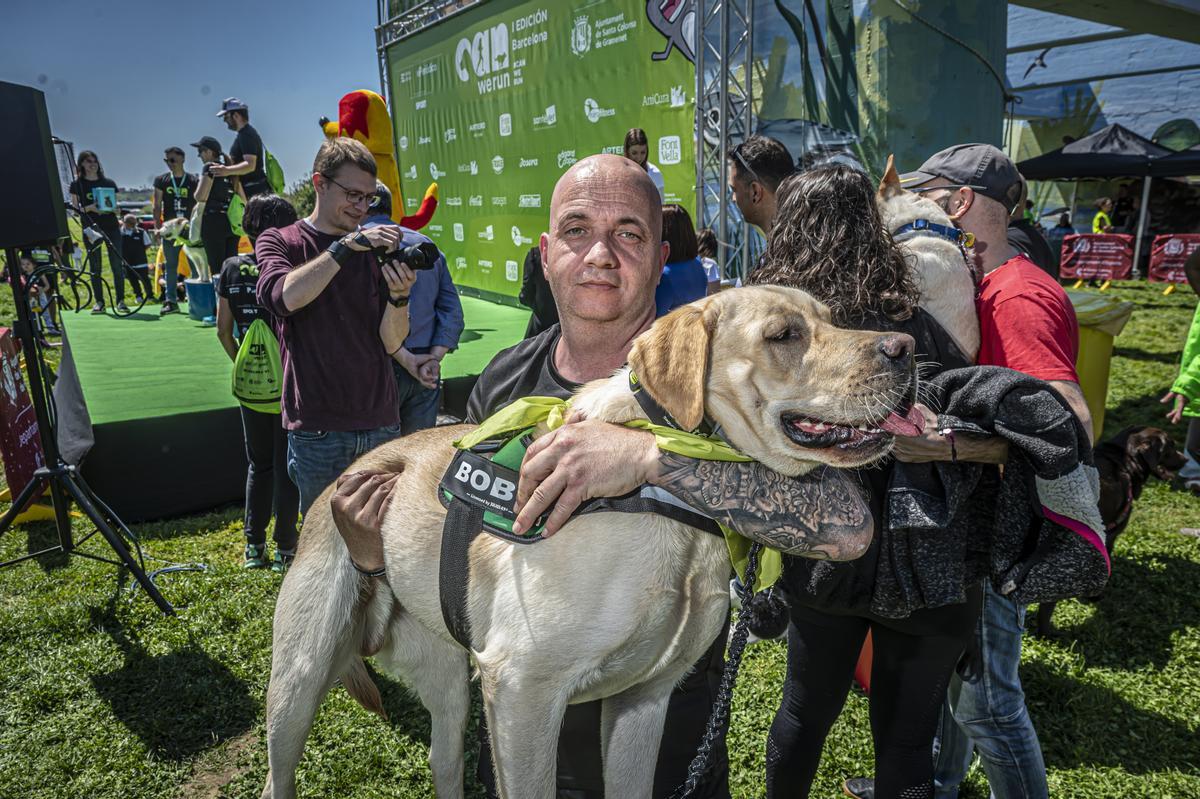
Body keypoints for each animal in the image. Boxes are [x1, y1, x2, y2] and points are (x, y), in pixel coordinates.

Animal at [1036, 422, 1185, 633]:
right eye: (1170, 446)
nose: (1186, 459)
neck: (1125, 460)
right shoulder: (1110, 536)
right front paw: (1094, 597)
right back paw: (1048, 633)